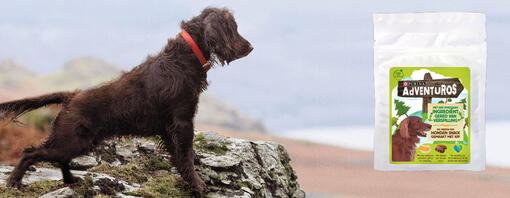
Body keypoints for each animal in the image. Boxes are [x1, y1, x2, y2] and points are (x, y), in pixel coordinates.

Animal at [0, 6, 253, 193]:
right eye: (234, 28)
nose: (250, 47)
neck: (183, 58)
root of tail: (72, 96)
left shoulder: (169, 128)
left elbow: (179, 157)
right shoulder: (183, 121)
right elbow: (187, 155)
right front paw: (198, 185)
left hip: (77, 142)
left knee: (57, 158)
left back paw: (70, 180)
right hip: (72, 141)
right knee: (30, 153)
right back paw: (15, 181)